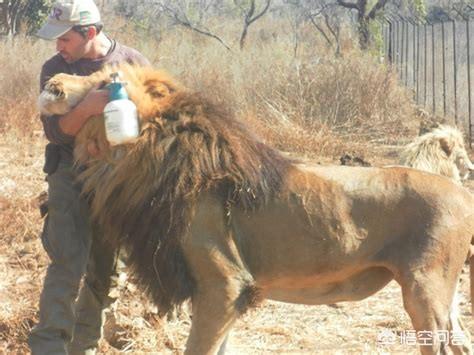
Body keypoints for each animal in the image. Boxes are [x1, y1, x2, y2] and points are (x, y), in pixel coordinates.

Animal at [39, 64, 474, 355]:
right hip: (443, 294)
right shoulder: (229, 294)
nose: (52, 84)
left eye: (101, 84)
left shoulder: (224, 283)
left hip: (425, 289)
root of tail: (462, 193)